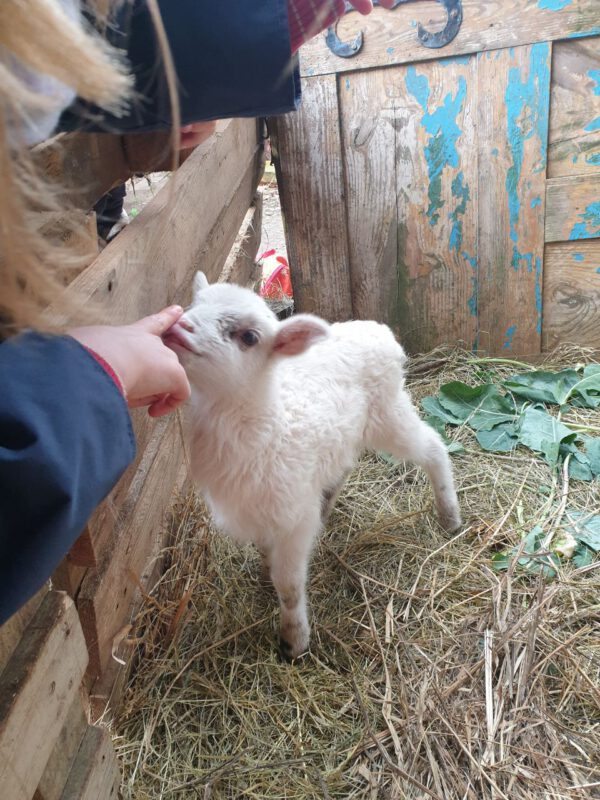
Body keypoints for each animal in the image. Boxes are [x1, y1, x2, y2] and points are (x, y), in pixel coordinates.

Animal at [166, 272, 462, 660]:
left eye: (249, 337)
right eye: (192, 306)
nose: (178, 327)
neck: (268, 423)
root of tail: (376, 330)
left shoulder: (293, 519)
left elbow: (290, 587)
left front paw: (294, 640)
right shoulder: (261, 507)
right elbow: (266, 551)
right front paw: (265, 572)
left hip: (388, 412)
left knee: (432, 447)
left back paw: (450, 515)